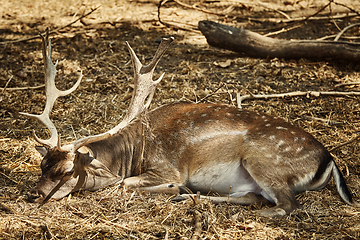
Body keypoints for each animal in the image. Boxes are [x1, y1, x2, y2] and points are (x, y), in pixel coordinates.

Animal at [21, 30, 358, 218]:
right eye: (42, 166)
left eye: (67, 171)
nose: (32, 195)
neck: (132, 153)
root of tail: (329, 161)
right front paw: (179, 191)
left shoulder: (167, 166)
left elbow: (126, 183)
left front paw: (172, 187)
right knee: (254, 196)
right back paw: (190, 196)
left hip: (263, 158)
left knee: (286, 205)